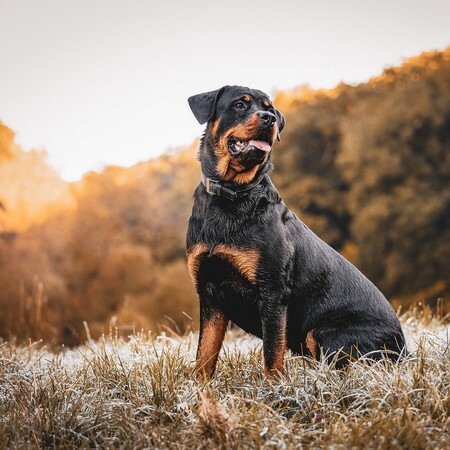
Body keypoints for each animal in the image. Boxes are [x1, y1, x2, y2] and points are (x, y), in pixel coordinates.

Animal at [186, 84, 408, 376]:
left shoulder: (272, 292)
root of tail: (404, 350)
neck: (232, 194)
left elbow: (272, 355)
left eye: (269, 109)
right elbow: (205, 355)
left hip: (324, 333)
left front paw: (273, 388)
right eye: (239, 105)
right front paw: (200, 388)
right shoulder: (209, 292)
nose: (268, 119)